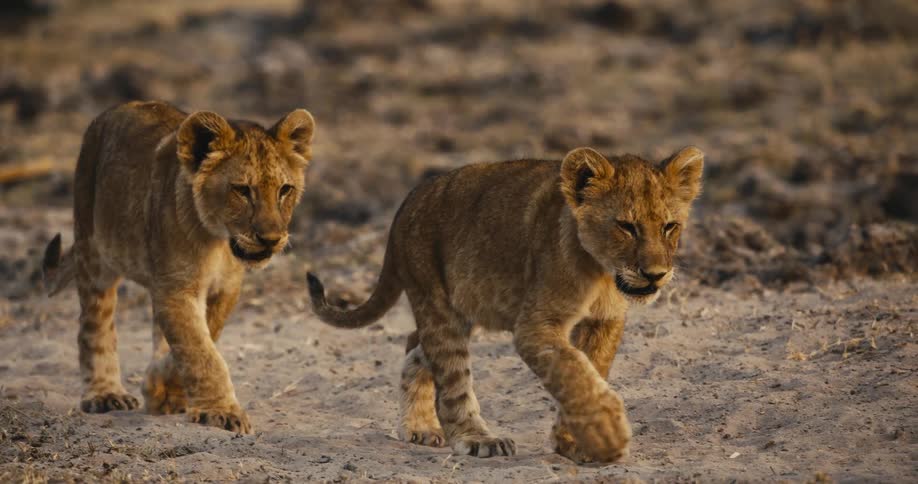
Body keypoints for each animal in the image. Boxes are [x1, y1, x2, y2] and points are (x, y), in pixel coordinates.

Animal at [42, 101, 315, 434]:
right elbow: (199, 349)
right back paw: (104, 394)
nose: (271, 239)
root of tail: (117, 107)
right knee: (94, 325)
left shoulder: (224, 290)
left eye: (285, 190)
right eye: (242, 190)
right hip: (93, 249)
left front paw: (162, 391)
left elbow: (198, 340)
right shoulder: (176, 288)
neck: (218, 241)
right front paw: (221, 412)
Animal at [307, 146, 703, 462]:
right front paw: (607, 435)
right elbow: (574, 374)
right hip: (435, 300)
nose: (655, 275)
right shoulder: (535, 325)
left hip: (462, 307)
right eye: (626, 226)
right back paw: (478, 440)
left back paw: (419, 427)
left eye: (669, 226)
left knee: (415, 347)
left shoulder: (605, 321)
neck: (602, 272)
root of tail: (408, 200)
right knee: (451, 380)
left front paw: (574, 443)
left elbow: (590, 372)